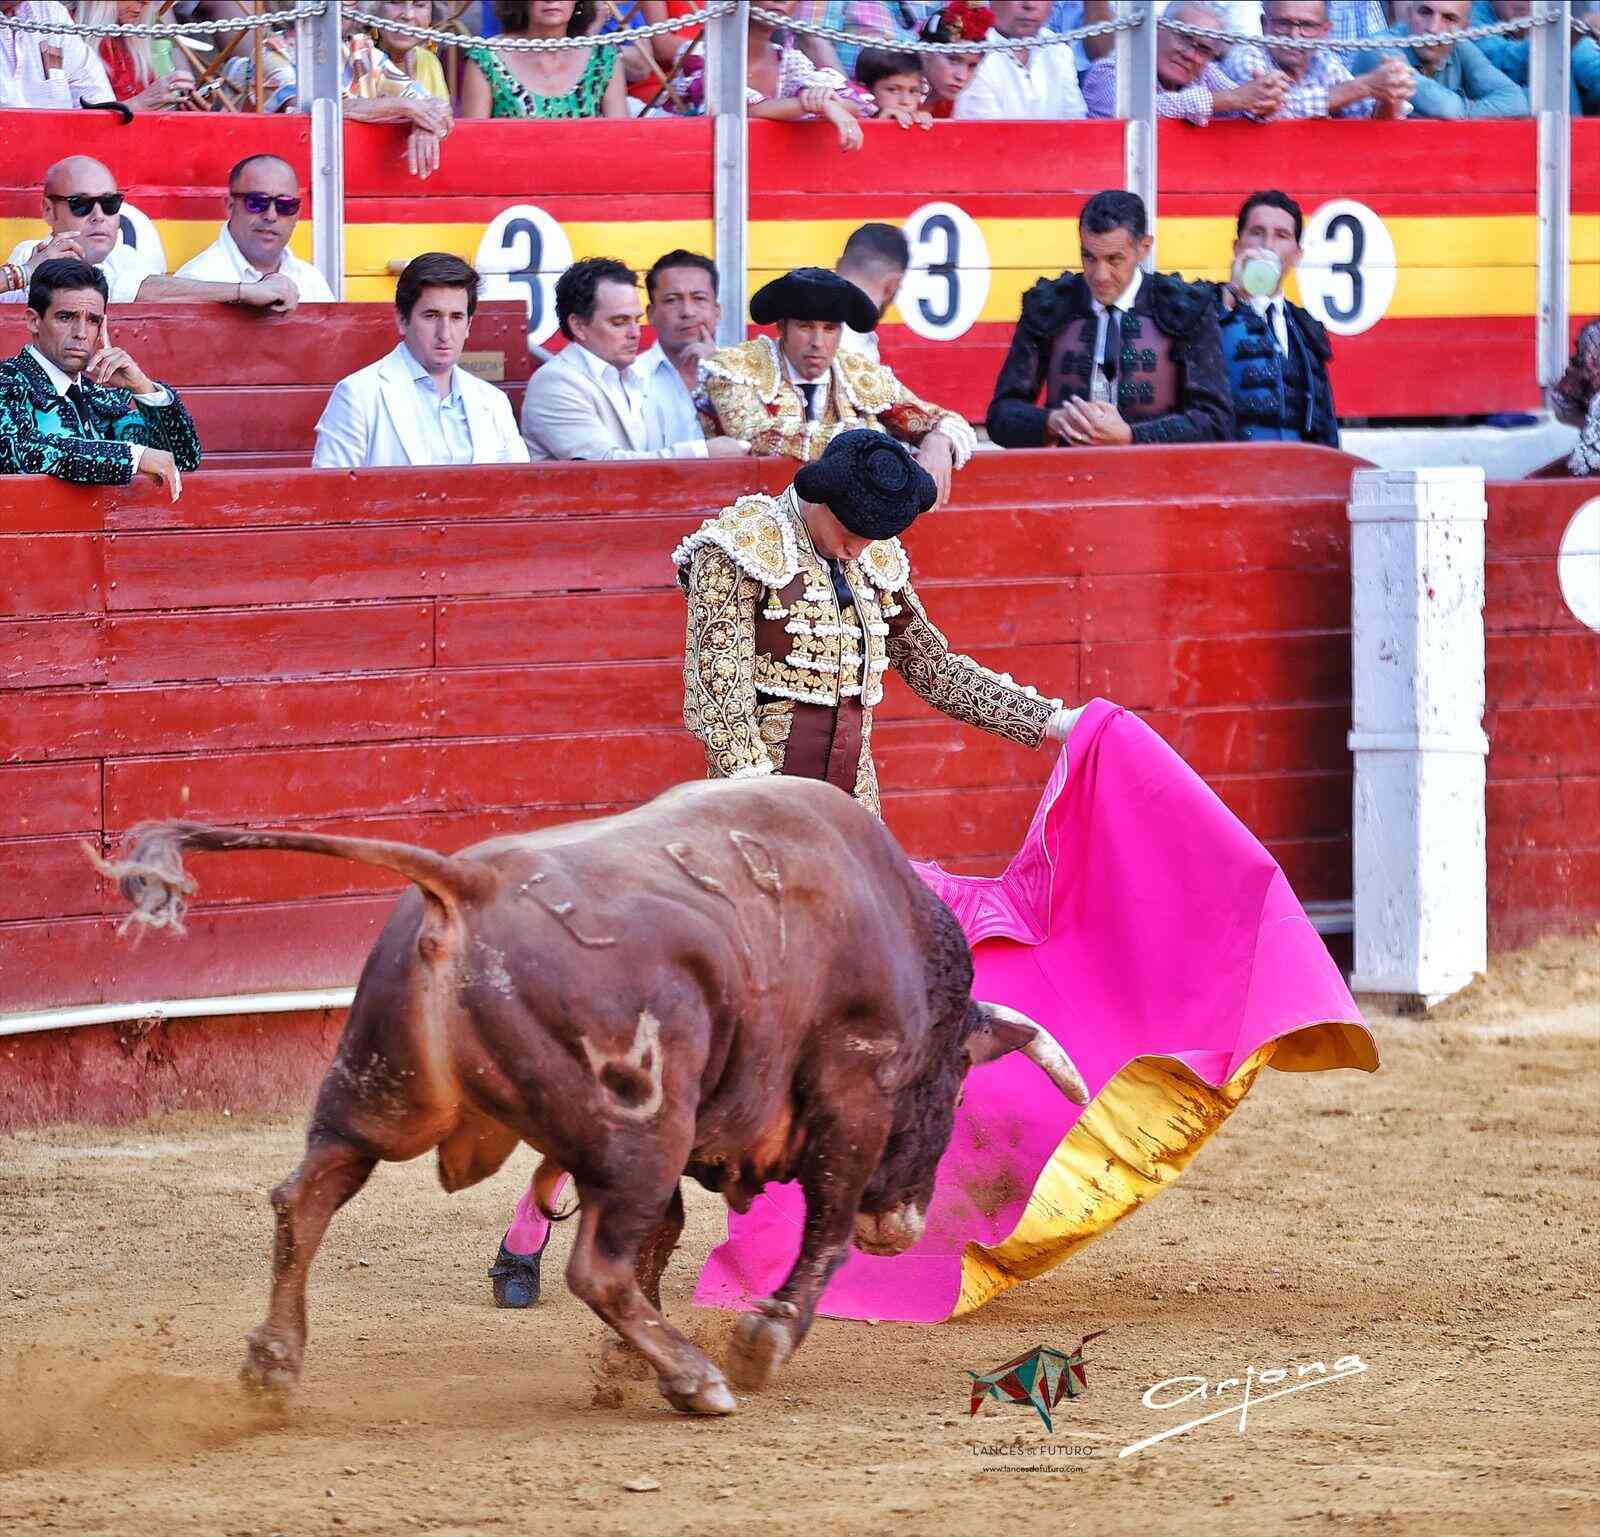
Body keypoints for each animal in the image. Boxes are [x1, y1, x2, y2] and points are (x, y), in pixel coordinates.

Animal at [95, 777, 1088, 1417]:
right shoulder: (850, 1091)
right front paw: (759, 1344)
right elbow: (823, 1228)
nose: (906, 1223)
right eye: (951, 1090)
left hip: (373, 1096)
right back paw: (699, 1380)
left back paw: (273, 1366)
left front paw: (622, 1364)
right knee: (594, 1267)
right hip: (638, 1132)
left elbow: (669, 1233)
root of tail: (468, 883)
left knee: (304, 1197)